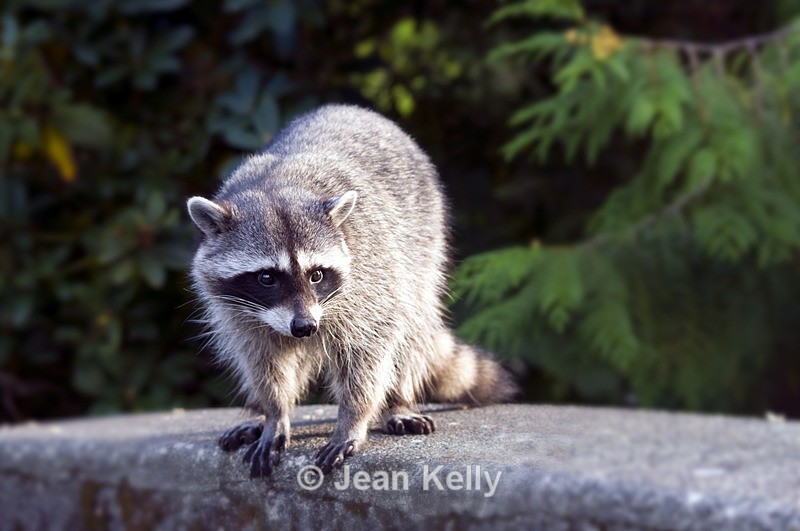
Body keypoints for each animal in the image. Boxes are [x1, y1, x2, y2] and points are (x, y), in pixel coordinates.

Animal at [187, 104, 516, 477]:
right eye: (267, 278)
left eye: (316, 275)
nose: (305, 327)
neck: (278, 185)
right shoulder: (237, 311)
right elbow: (262, 359)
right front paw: (273, 412)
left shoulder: (370, 280)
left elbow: (369, 351)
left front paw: (353, 419)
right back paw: (257, 411)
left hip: (425, 239)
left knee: (412, 322)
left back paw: (398, 400)